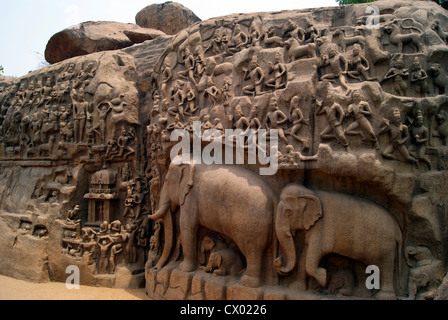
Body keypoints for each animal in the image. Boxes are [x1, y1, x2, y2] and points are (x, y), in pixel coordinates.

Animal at [148, 158, 276, 288]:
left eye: (166, 180)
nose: (155, 268)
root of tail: (273, 197)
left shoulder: (190, 198)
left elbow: (187, 226)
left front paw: (183, 269)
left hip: (251, 223)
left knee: (252, 251)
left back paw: (246, 282)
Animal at [274, 184, 404, 298]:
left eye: (288, 212)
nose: (278, 260)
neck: (310, 192)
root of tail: (397, 228)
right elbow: (305, 255)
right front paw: (295, 288)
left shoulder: (322, 228)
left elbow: (313, 255)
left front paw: (324, 277)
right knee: (361, 265)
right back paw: (361, 294)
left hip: (386, 245)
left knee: (385, 266)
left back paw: (384, 296)